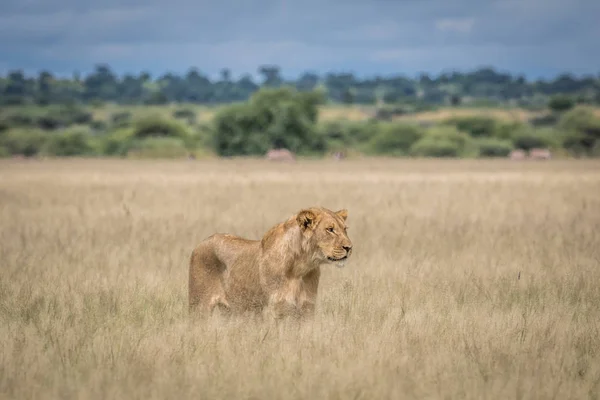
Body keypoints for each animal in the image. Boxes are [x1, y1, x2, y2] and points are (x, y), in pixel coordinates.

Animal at [189, 208, 352, 320]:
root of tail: (202, 242)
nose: (349, 248)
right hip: (199, 307)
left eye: (345, 229)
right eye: (330, 229)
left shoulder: (307, 310)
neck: (301, 268)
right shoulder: (275, 310)